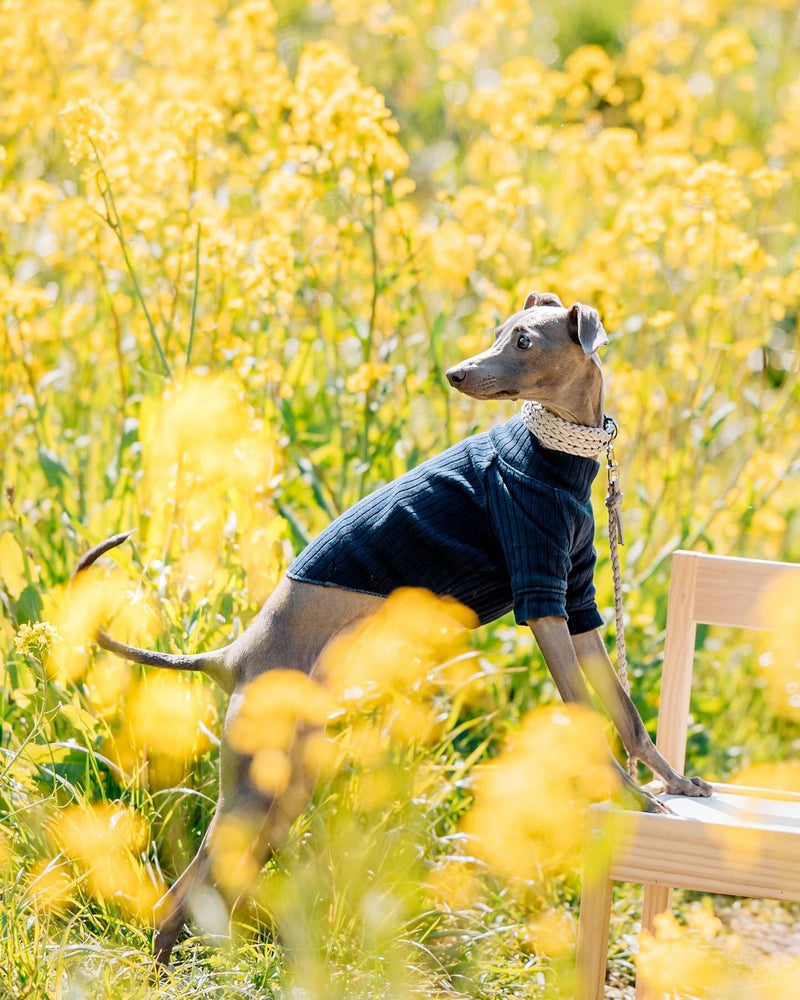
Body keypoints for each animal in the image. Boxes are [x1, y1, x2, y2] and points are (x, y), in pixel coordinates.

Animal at [75, 290, 712, 960]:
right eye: (500, 333)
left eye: (523, 342)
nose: (455, 373)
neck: (561, 456)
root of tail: (233, 656)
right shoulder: (542, 598)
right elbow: (589, 716)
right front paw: (631, 798)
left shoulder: (579, 597)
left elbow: (626, 714)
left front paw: (670, 782)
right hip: (251, 790)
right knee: (178, 893)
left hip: (283, 787)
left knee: (213, 884)